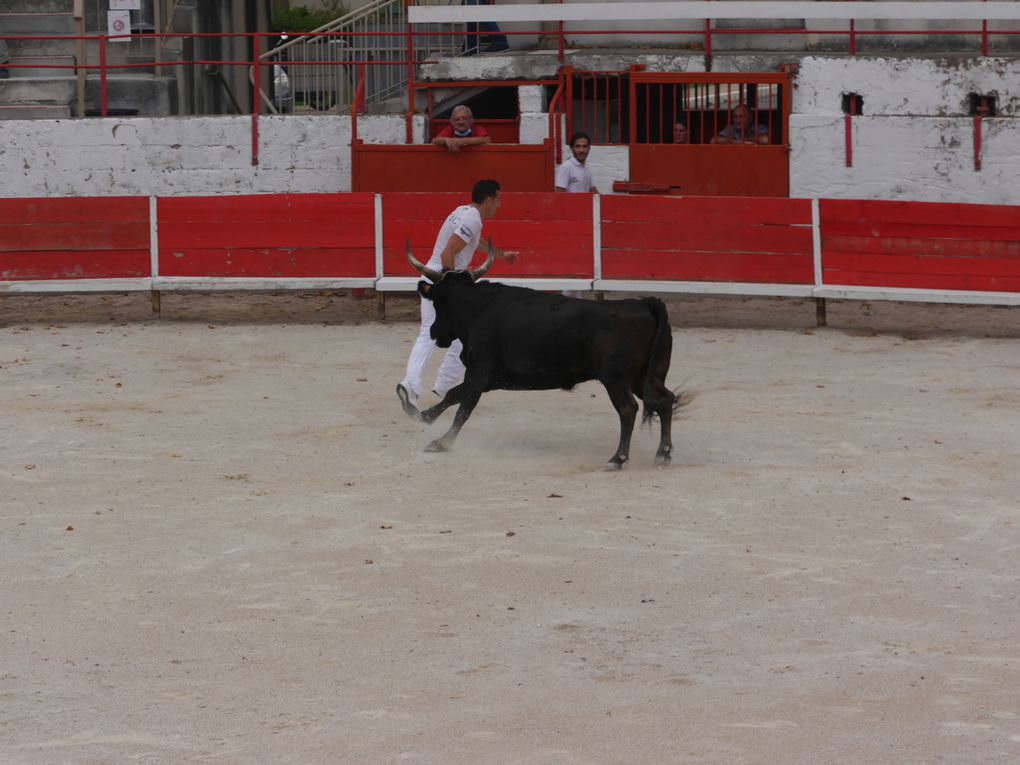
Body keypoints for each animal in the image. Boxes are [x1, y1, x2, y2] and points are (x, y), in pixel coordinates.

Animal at [405, 248, 685, 471]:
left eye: (437, 302)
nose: (434, 333)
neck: (479, 308)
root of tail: (646, 304)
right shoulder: (491, 378)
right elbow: (455, 393)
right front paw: (424, 415)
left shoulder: (480, 370)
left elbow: (465, 406)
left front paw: (441, 442)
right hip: (645, 377)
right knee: (665, 399)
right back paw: (663, 454)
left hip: (616, 379)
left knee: (628, 409)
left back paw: (618, 458)